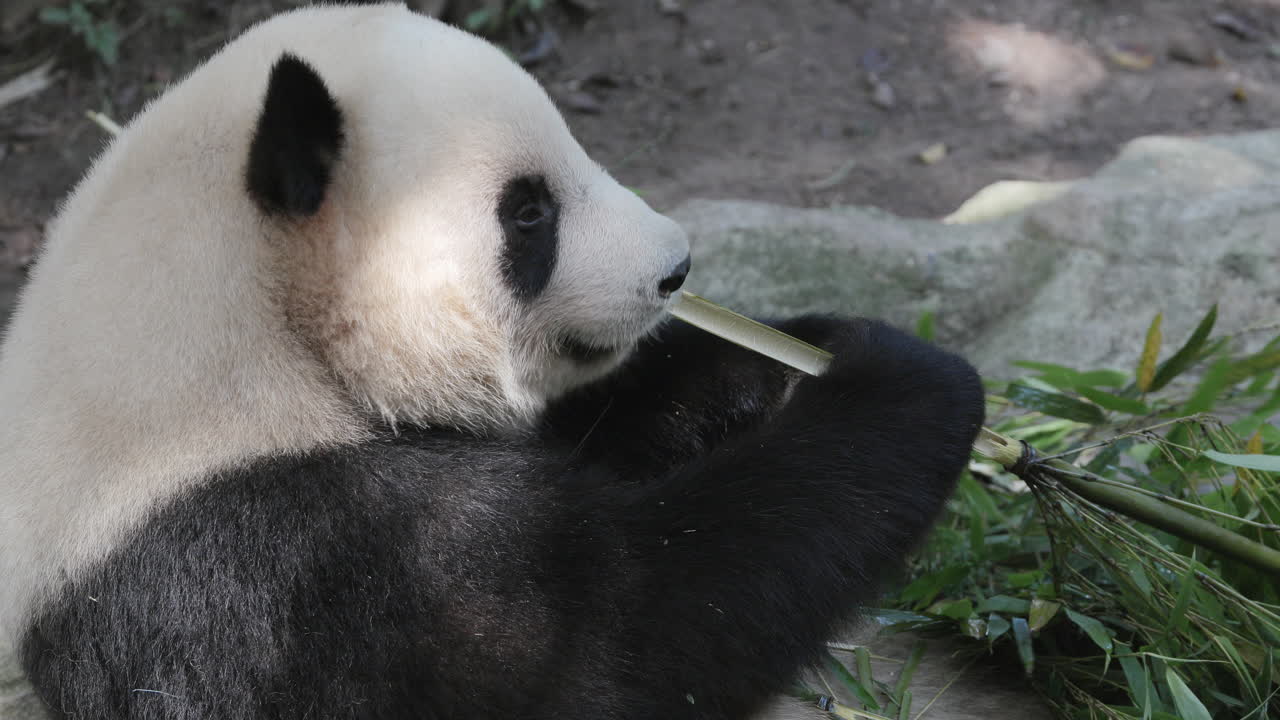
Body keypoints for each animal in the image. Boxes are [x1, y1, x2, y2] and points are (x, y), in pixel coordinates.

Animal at [0, 2, 985, 718]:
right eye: (529, 213)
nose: (674, 269)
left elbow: (616, 414)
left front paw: (789, 356)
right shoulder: (262, 560)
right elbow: (606, 639)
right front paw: (908, 382)